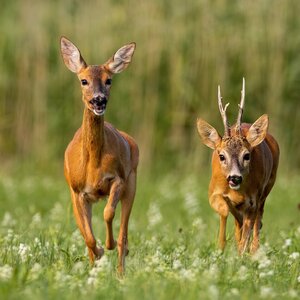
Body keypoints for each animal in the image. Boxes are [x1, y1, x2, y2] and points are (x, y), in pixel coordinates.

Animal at [60, 36, 139, 274]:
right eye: (84, 81)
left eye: (109, 80)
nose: (99, 100)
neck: (93, 164)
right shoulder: (77, 191)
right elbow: (88, 237)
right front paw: (100, 252)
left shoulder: (119, 179)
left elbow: (108, 213)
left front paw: (108, 245)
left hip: (132, 182)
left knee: (123, 235)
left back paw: (121, 271)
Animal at [197, 79, 278, 253]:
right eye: (221, 156)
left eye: (246, 155)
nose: (235, 178)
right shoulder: (213, 192)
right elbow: (224, 210)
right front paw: (221, 247)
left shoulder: (253, 200)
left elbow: (249, 229)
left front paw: (241, 252)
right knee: (239, 222)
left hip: (266, 189)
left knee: (258, 220)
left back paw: (253, 251)